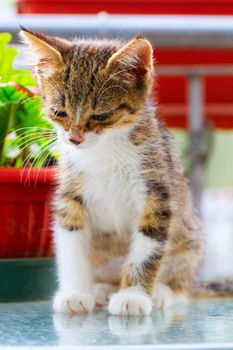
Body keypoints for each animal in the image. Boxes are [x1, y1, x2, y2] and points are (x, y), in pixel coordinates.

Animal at [20, 28, 204, 316]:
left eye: (101, 115)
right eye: (59, 112)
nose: (74, 139)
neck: (105, 151)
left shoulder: (157, 191)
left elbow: (148, 247)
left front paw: (133, 296)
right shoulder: (70, 193)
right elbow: (71, 242)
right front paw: (75, 293)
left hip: (189, 239)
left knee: (182, 282)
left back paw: (162, 292)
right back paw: (100, 289)